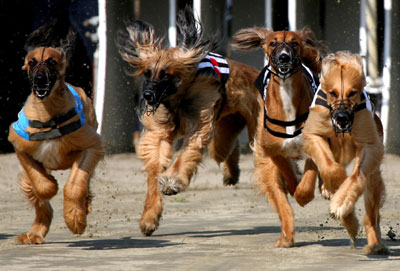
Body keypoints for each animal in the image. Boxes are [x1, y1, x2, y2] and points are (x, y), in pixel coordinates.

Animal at [8, 24, 104, 245]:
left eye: (52, 61)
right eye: (32, 62)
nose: (39, 80)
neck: (48, 114)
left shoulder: (90, 145)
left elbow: (75, 185)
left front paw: (75, 218)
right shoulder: (21, 147)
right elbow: (42, 186)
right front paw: (51, 185)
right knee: (39, 200)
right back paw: (34, 233)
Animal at [233, 26, 326, 248]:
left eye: (295, 43)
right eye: (273, 43)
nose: (284, 57)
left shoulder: (314, 142)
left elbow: (310, 175)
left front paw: (303, 193)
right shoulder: (272, 151)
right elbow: (288, 177)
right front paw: (295, 188)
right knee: (281, 201)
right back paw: (286, 237)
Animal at [296, 50, 390, 255]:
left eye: (352, 93)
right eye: (332, 93)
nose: (342, 117)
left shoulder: (369, 143)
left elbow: (355, 178)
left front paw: (341, 205)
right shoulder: (314, 133)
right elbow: (330, 168)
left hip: (373, 179)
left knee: (372, 213)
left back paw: (375, 244)